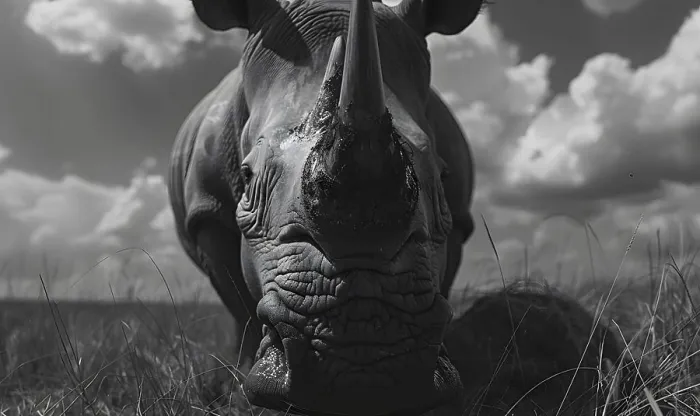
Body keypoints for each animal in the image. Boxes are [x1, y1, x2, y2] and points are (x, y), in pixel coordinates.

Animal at [168, 0, 479, 414]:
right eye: (247, 177)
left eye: (443, 175)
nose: (361, 367)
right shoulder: (209, 212)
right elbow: (240, 305)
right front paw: (241, 396)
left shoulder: (456, 218)